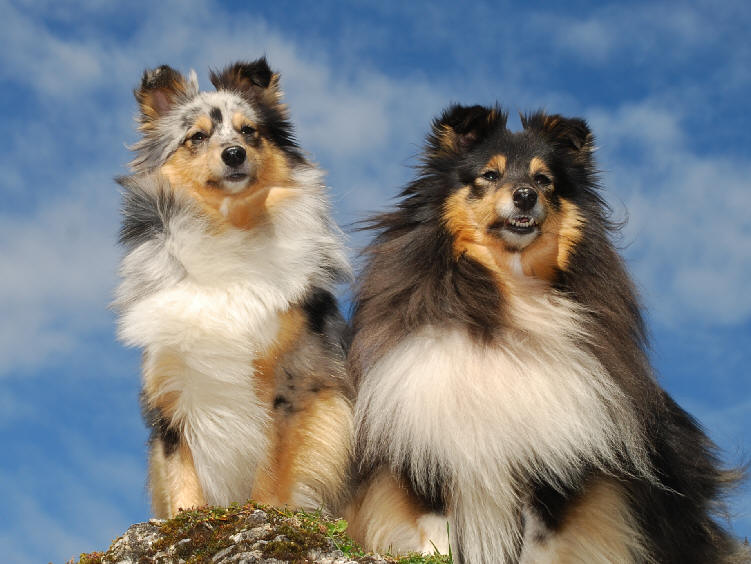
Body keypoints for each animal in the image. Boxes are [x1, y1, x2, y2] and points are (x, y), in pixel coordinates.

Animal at [114, 58, 356, 520]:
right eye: (197, 136)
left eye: (249, 132)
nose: (234, 154)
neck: (227, 230)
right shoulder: (172, 392)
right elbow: (182, 475)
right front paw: (185, 520)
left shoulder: (291, 383)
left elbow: (271, 469)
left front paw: (263, 511)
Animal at [346, 103, 748, 560]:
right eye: (490, 175)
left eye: (544, 180)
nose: (525, 196)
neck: (512, 294)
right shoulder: (427, 442)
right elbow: (436, 531)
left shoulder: (555, 462)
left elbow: (540, 541)